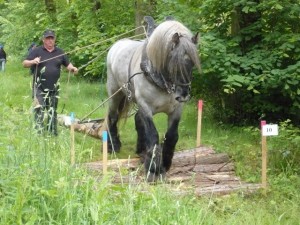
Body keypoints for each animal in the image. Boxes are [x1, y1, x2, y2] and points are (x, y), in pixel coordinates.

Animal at [106, 16, 200, 181]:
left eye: (192, 63)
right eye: (173, 62)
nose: (183, 95)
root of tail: (117, 44)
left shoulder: (176, 109)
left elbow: (172, 135)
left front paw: (165, 162)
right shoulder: (145, 106)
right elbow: (153, 135)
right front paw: (154, 169)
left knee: (138, 119)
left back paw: (141, 151)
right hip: (115, 93)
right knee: (112, 116)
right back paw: (114, 146)